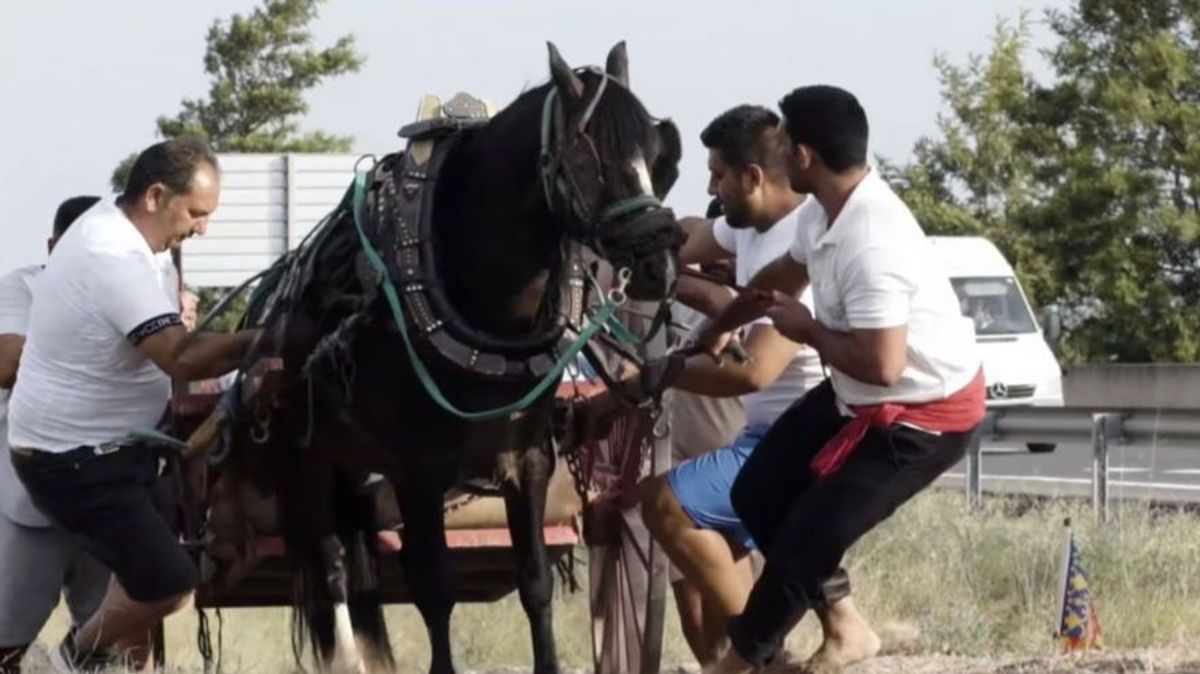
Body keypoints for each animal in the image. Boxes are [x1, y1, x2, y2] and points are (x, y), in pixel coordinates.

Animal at [211, 43, 681, 671]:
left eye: (658, 156)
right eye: (588, 161)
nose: (660, 265)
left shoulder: (529, 457)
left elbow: (534, 581)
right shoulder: (418, 468)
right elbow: (433, 584)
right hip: (308, 460)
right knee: (332, 564)